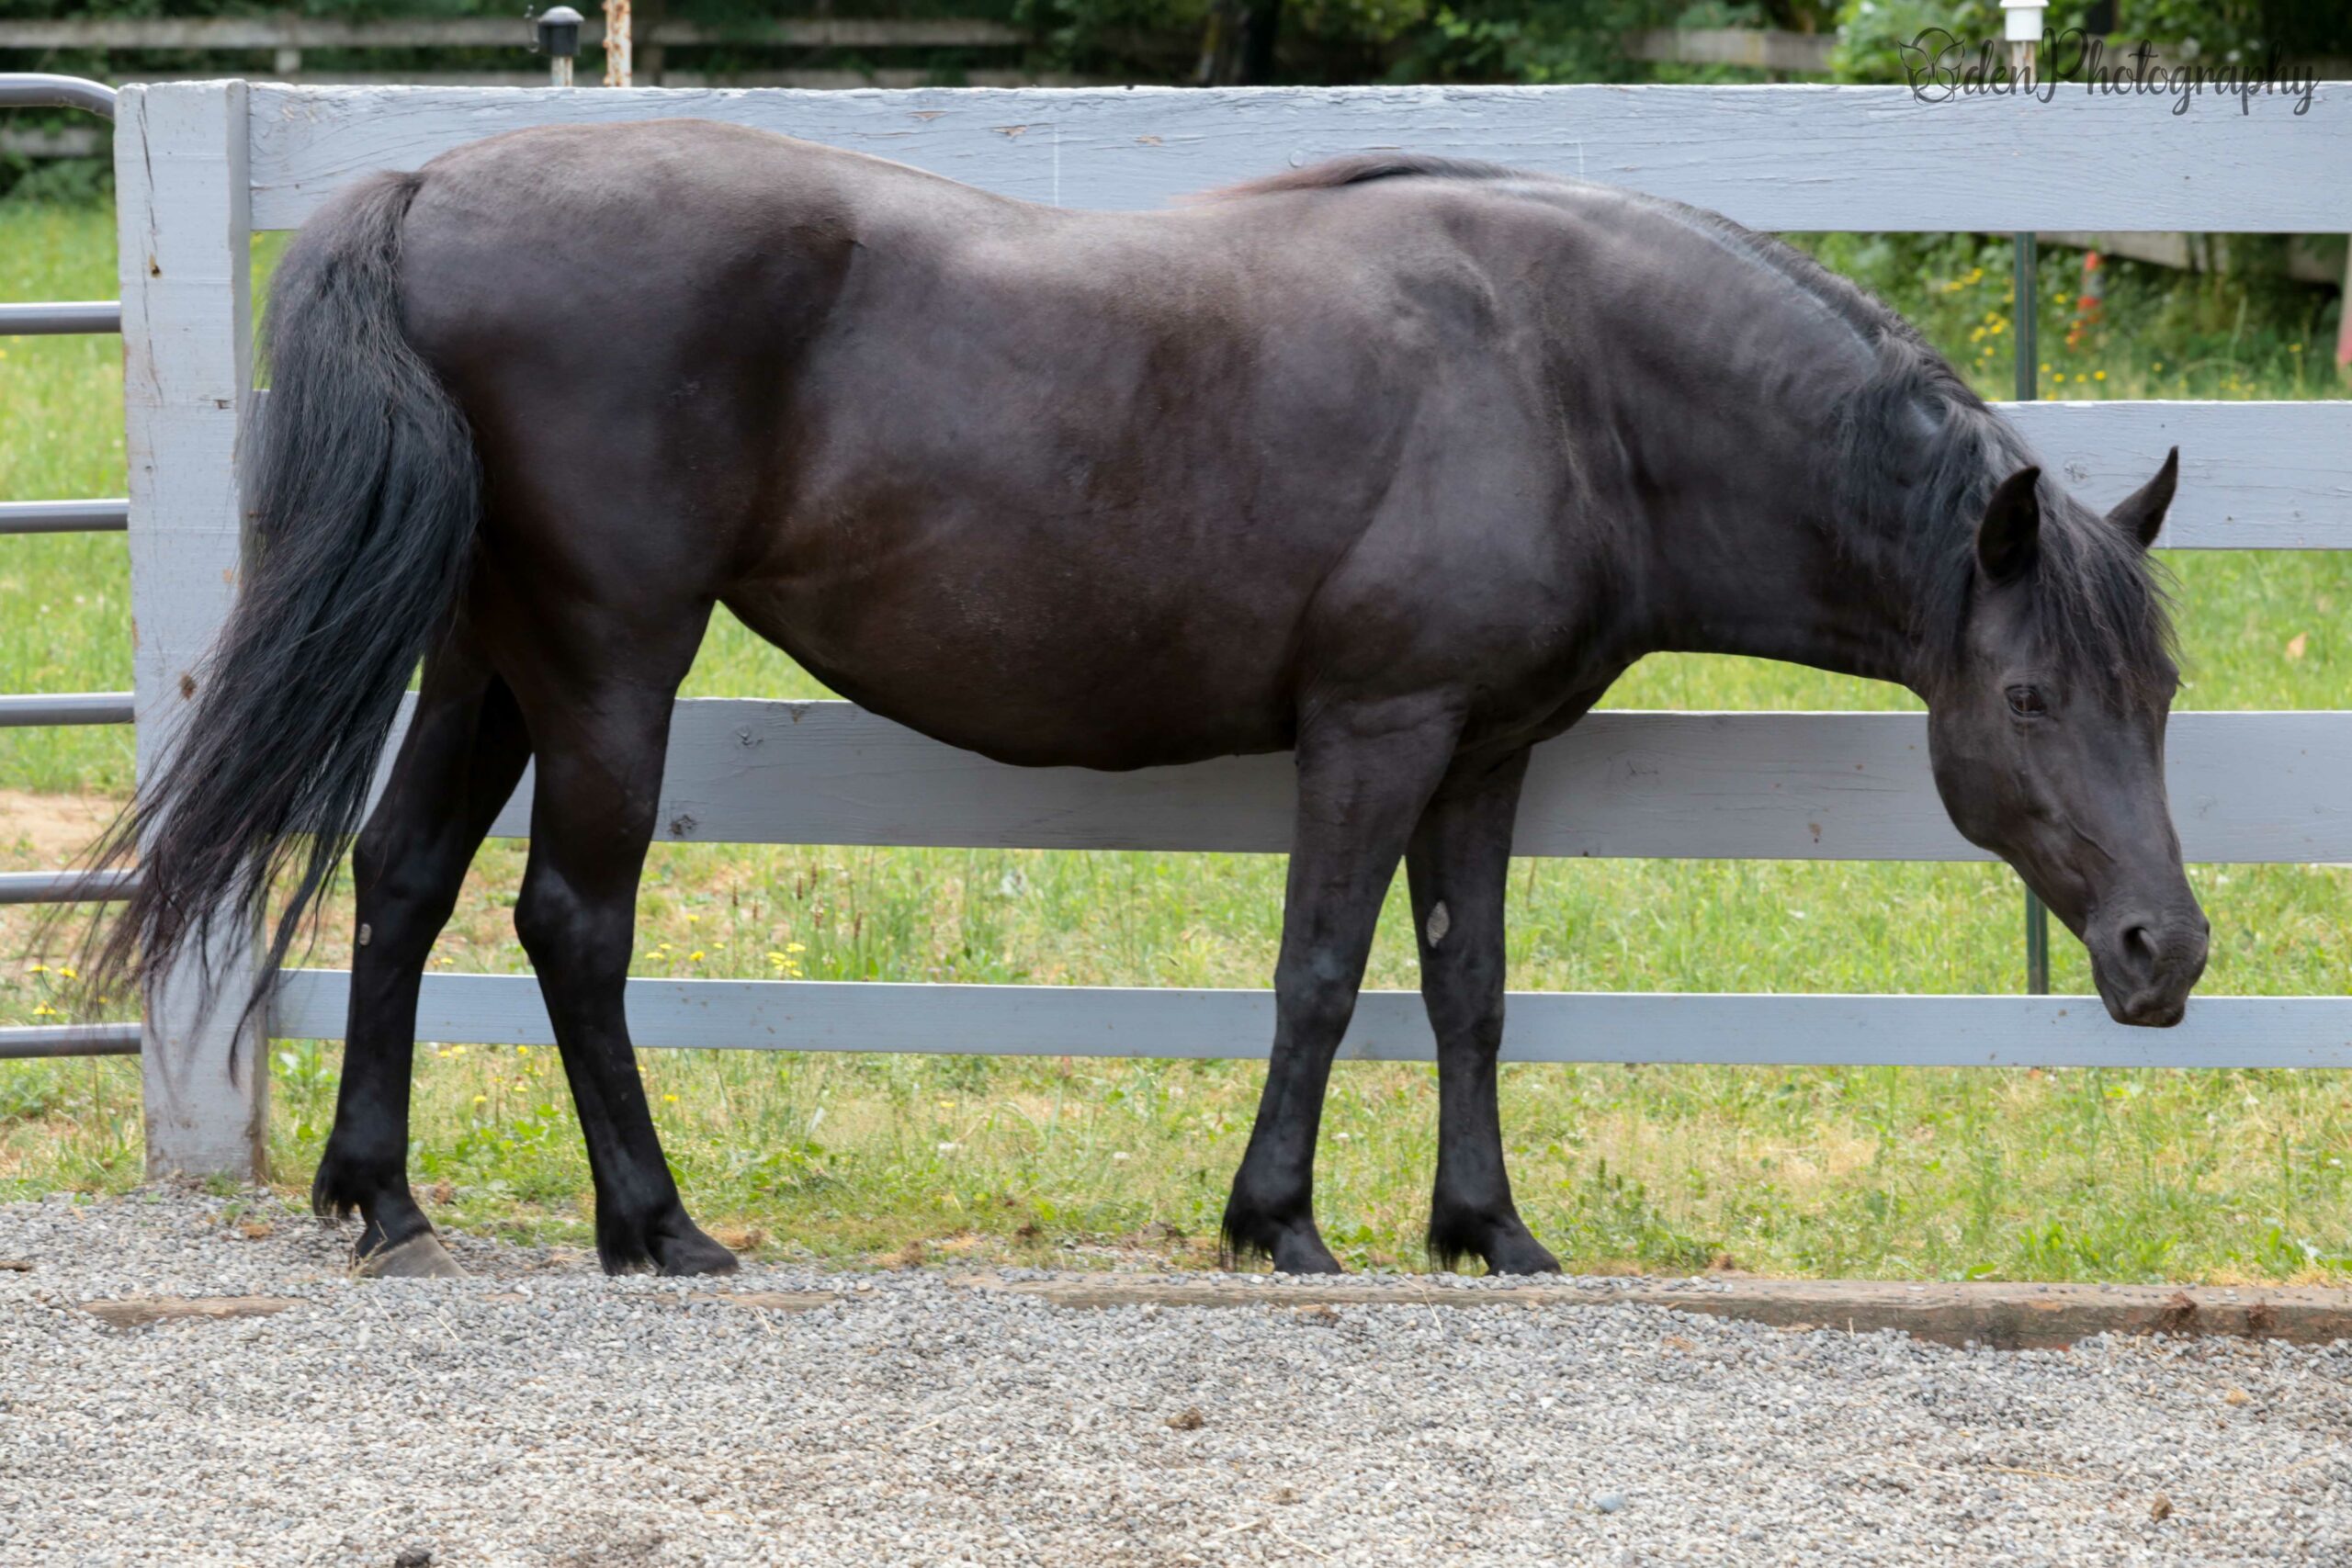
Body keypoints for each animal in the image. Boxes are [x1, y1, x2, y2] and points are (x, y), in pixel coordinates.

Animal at [86, 119, 2201, 1279]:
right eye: (2029, 695)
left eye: (2163, 692)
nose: (2163, 951)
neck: (1564, 369)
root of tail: (427, 180)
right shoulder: (1376, 728)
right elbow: (1320, 974)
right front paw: (1280, 1218)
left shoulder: (1489, 753)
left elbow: (1468, 989)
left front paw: (1486, 1229)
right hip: (613, 652)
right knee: (568, 917)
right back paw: (657, 1224)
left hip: (493, 648)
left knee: (402, 879)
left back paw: (381, 1198)